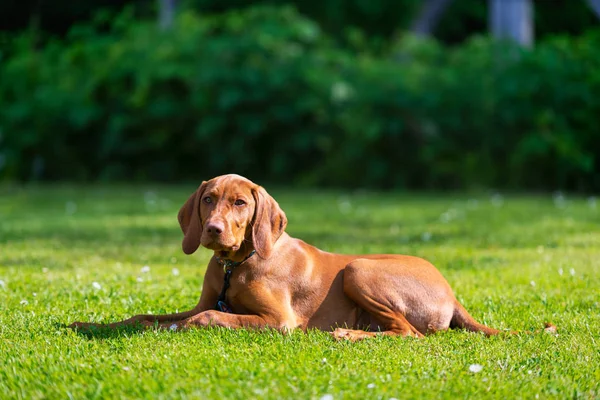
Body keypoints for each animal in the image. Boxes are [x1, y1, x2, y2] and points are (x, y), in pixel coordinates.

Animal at [69, 173, 552, 340]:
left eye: (240, 203)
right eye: (208, 200)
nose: (213, 230)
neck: (235, 265)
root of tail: (452, 295)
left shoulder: (278, 321)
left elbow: (206, 317)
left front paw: (176, 329)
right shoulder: (206, 298)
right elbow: (145, 316)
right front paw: (90, 325)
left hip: (359, 269)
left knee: (410, 333)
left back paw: (347, 336)